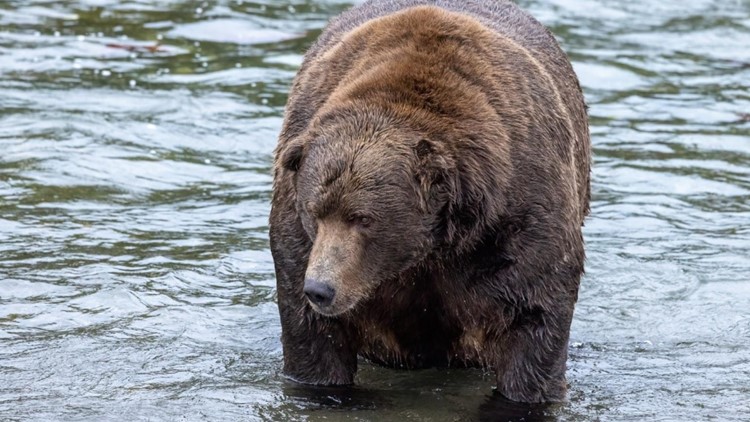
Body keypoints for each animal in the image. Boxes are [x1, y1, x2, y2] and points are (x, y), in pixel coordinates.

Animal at [270, 0, 592, 404]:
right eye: (315, 212)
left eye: (363, 218)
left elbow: (534, 316)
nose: (321, 289)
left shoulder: (519, 212)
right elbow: (313, 337)